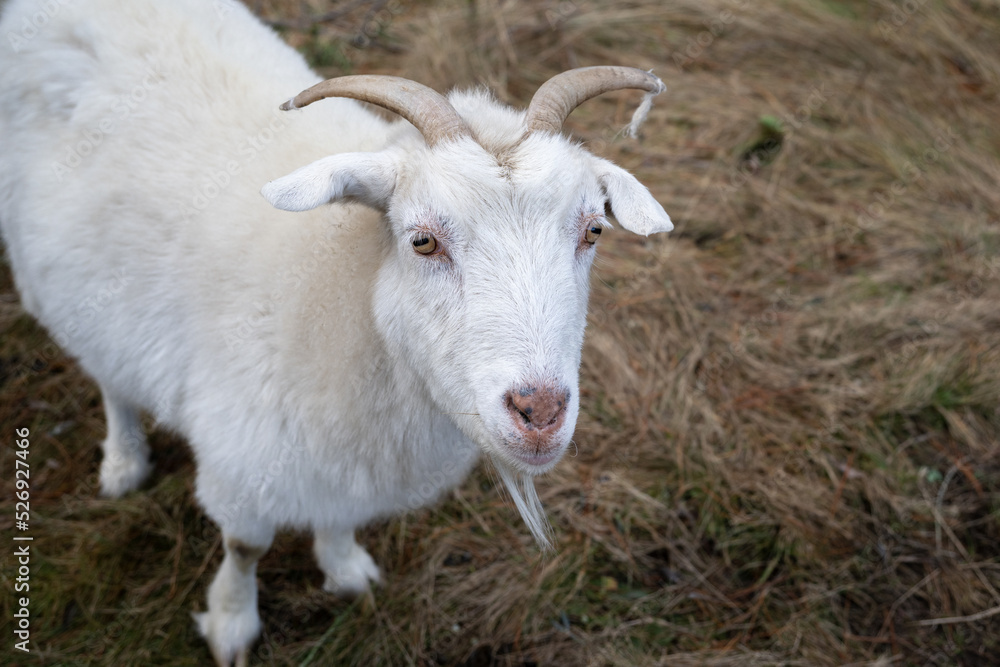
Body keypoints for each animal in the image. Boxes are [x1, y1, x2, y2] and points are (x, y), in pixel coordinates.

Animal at [1, 0, 672, 664]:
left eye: (593, 230)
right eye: (421, 240)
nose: (541, 412)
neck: (331, 287)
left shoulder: (349, 458)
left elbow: (342, 514)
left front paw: (345, 566)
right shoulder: (242, 461)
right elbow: (245, 548)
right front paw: (231, 623)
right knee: (108, 376)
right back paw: (123, 460)